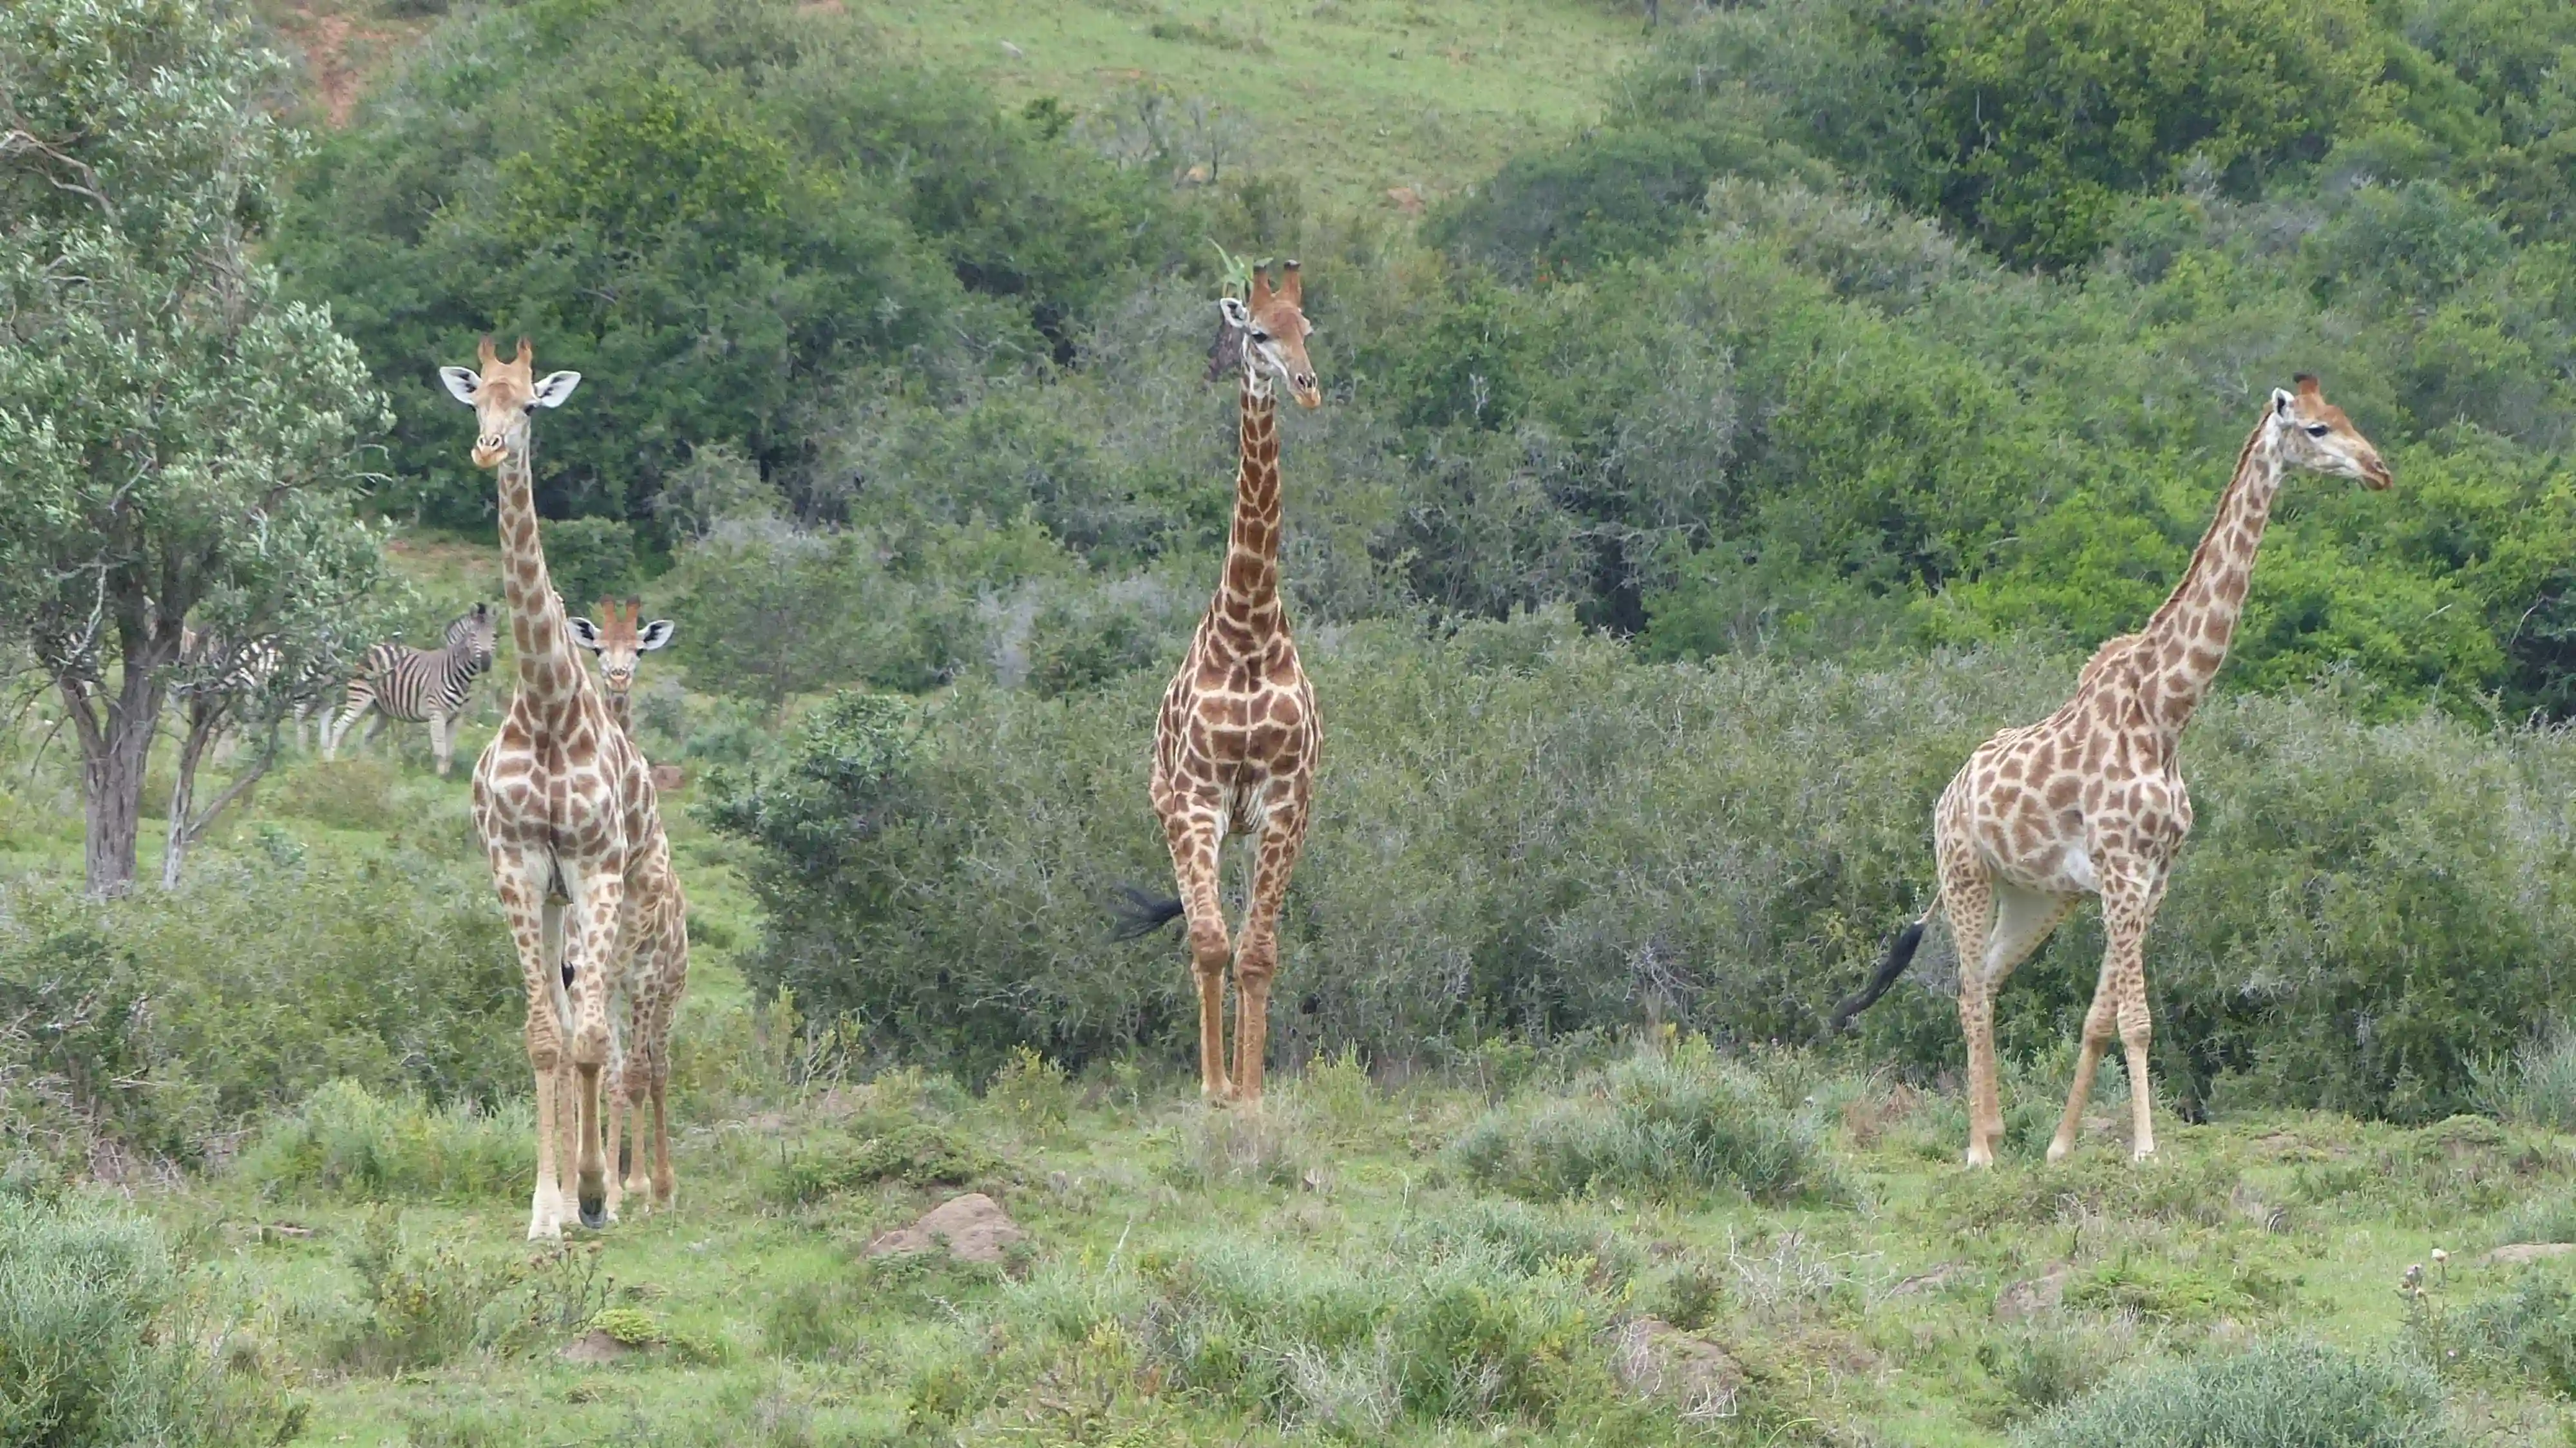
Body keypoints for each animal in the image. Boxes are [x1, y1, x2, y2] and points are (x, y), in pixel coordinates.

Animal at [325, 600, 500, 773]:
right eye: (473, 635)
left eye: (494, 636)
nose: (486, 663)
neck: (458, 672)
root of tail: (372, 648)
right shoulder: (437, 713)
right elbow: (440, 752)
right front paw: (438, 779)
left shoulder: (457, 718)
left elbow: (449, 754)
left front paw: (445, 777)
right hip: (360, 697)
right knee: (338, 727)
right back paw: (330, 762)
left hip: (383, 710)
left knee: (367, 734)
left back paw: (365, 766)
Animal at [435, 335, 680, 1226]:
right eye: (477, 400)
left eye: (533, 405)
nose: (488, 449)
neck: (544, 702)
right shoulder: (516, 866)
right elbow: (545, 1037)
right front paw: (547, 1210)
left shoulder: (595, 868)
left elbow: (594, 1042)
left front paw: (597, 1191)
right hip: (551, 902)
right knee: (578, 1027)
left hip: (627, 910)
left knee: (625, 1045)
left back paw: (625, 1189)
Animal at [1113, 259, 1329, 1098]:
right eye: (1259, 334)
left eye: (1310, 329)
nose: (1307, 387)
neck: (1248, 631)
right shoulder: (1198, 799)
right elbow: (1207, 942)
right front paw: (1213, 1089)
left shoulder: (1284, 804)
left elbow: (1258, 951)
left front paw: (1252, 1091)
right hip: (1175, 809)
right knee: (1205, 934)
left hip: (1244, 829)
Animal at [1814, 371, 2391, 1159]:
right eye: (2317, 429)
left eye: (2345, 416)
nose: (2380, 470)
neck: (2166, 713)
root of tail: (1948, 792)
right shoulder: (2120, 869)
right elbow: (2134, 1020)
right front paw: (2144, 1150)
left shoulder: (2153, 878)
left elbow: (2099, 1018)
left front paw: (2062, 1146)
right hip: (1964, 873)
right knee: (1966, 990)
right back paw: (1977, 1151)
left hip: (2037, 898)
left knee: (1986, 980)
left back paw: (1997, 1129)